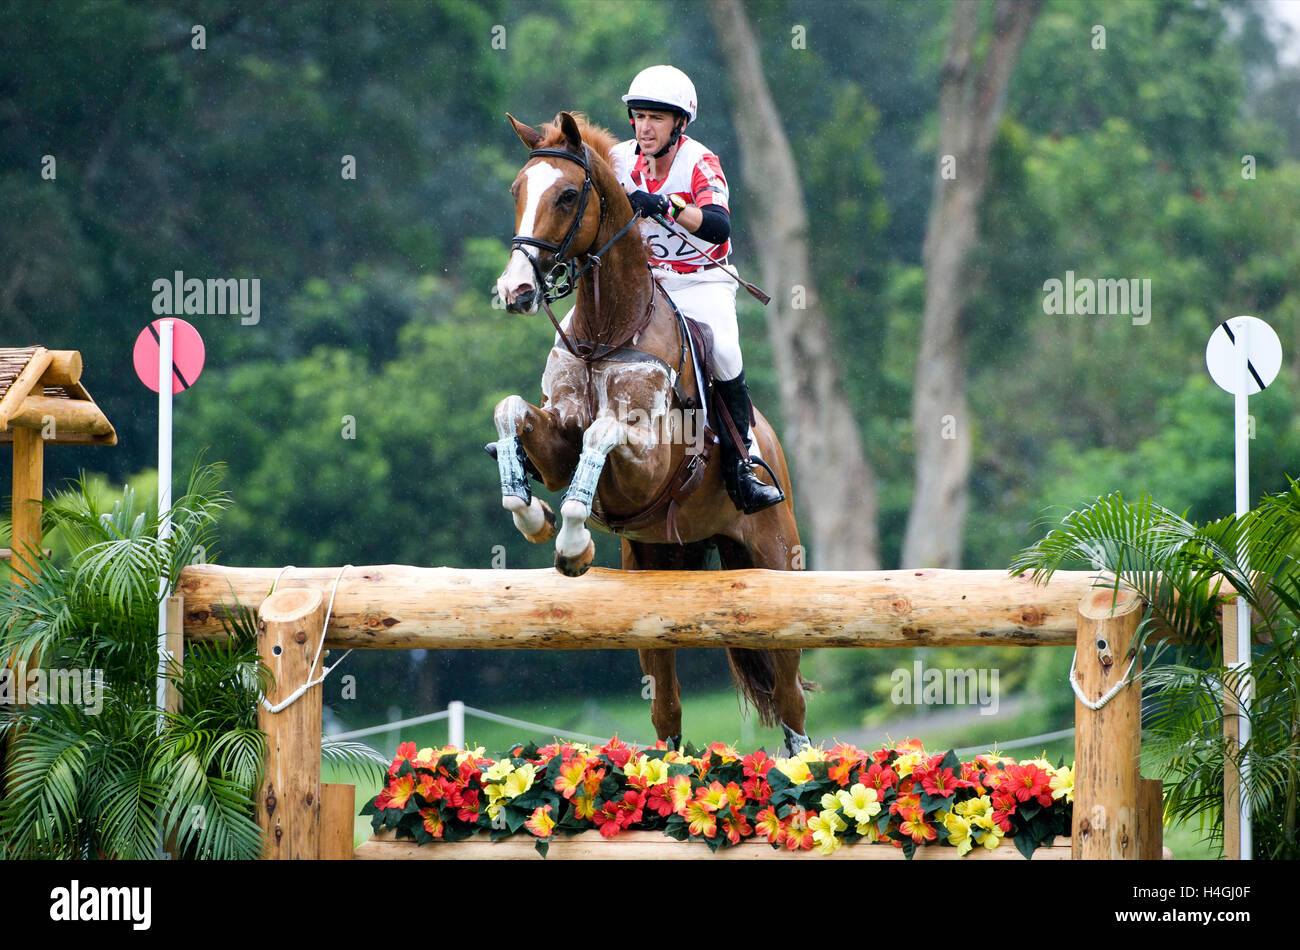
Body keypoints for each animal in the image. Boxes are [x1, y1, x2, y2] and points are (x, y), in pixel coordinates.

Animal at [493, 111, 811, 753]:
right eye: (517, 190)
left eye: (568, 195)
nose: (516, 292)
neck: (606, 331)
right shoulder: (558, 435)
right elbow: (512, 411)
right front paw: (533, 512)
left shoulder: (644, 464)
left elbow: (602, 434)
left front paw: (571, 544)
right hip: (656, 575)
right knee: (666, 707)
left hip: (772, 564)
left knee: (791, 699)